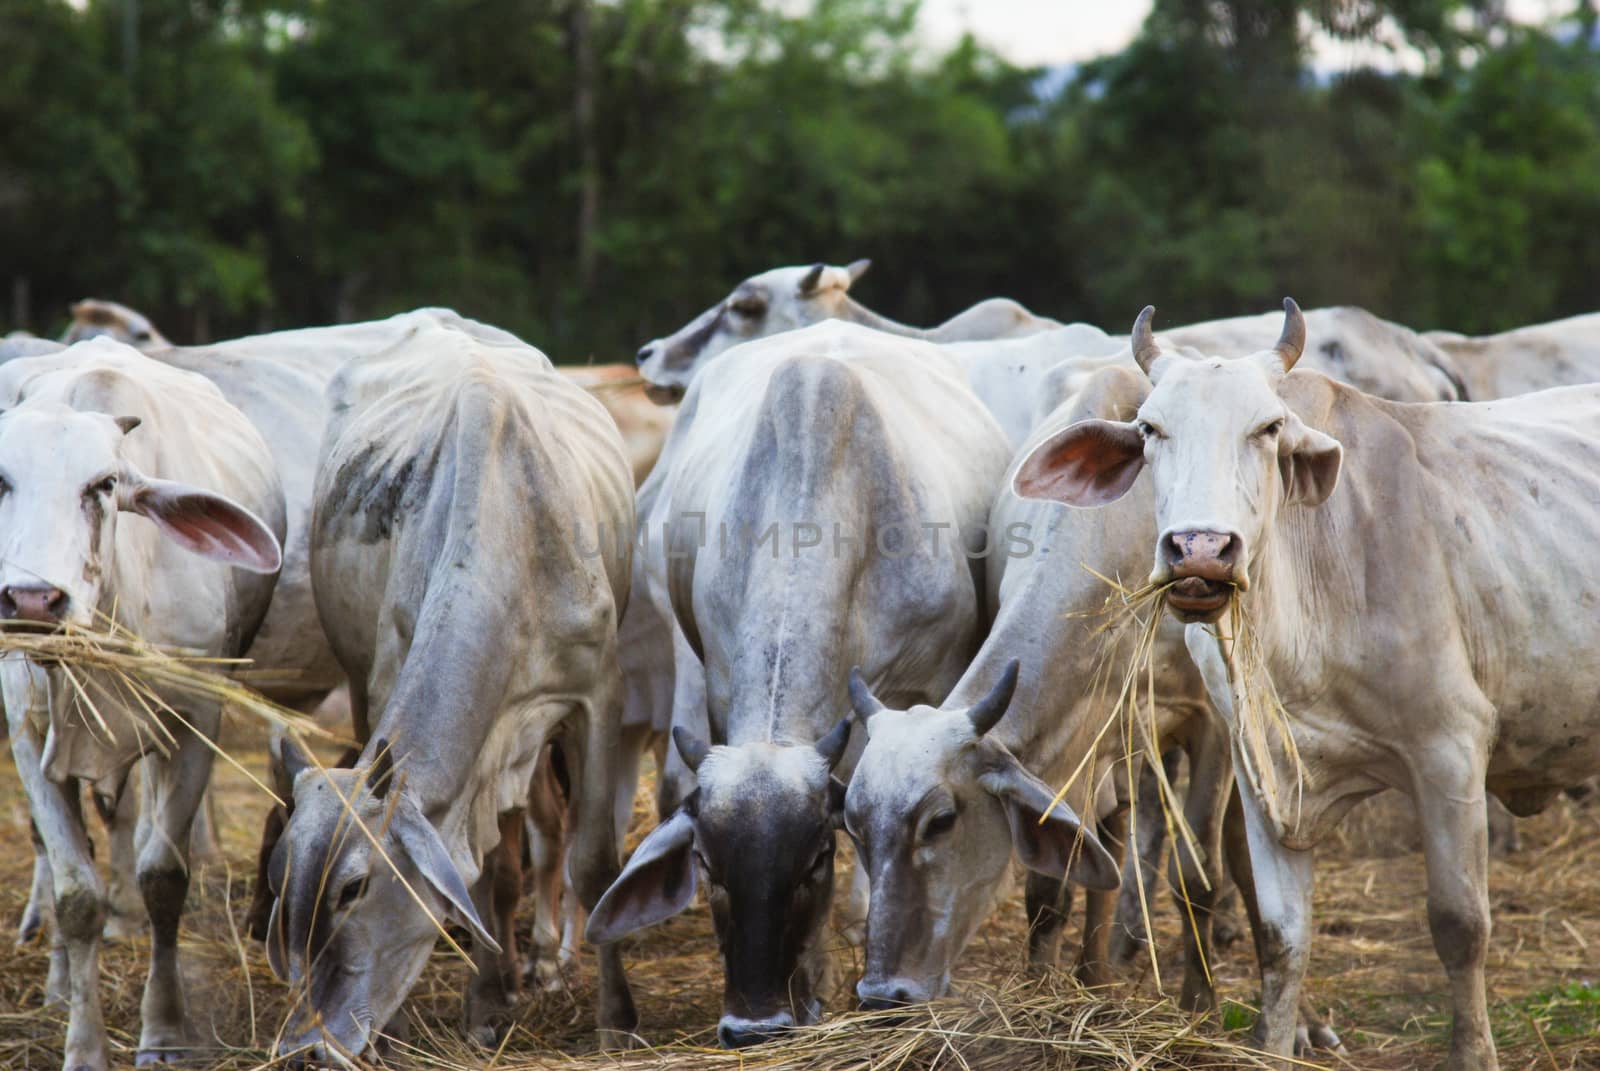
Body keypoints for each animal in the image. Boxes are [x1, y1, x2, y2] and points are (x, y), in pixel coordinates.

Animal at [0, 337, 284, 1062]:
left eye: (103, 484)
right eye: (1, 481)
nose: (33, 601)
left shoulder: (192, 725)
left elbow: (163, 879)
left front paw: (163, 1031)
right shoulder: (28, 737)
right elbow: (76, 894)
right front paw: (83, 1045)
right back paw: (56, 984)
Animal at [265, 321, 633, 1056]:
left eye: (353, 887)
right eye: (282, 881)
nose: (305, 1047)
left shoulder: (595, 696)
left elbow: (595, 861)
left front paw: (617, 1018)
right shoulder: (391, 687)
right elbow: (482, 871)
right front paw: (486, 1002)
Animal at [1011, 296, 1600, 1062]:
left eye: (1269, 428)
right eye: (1150, 429)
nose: (1200, 550)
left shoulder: (1451, 753)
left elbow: (1460, 926)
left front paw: (1473, 1054)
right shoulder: (1259, 774)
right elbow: (1280, 936)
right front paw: (1273, 1043)